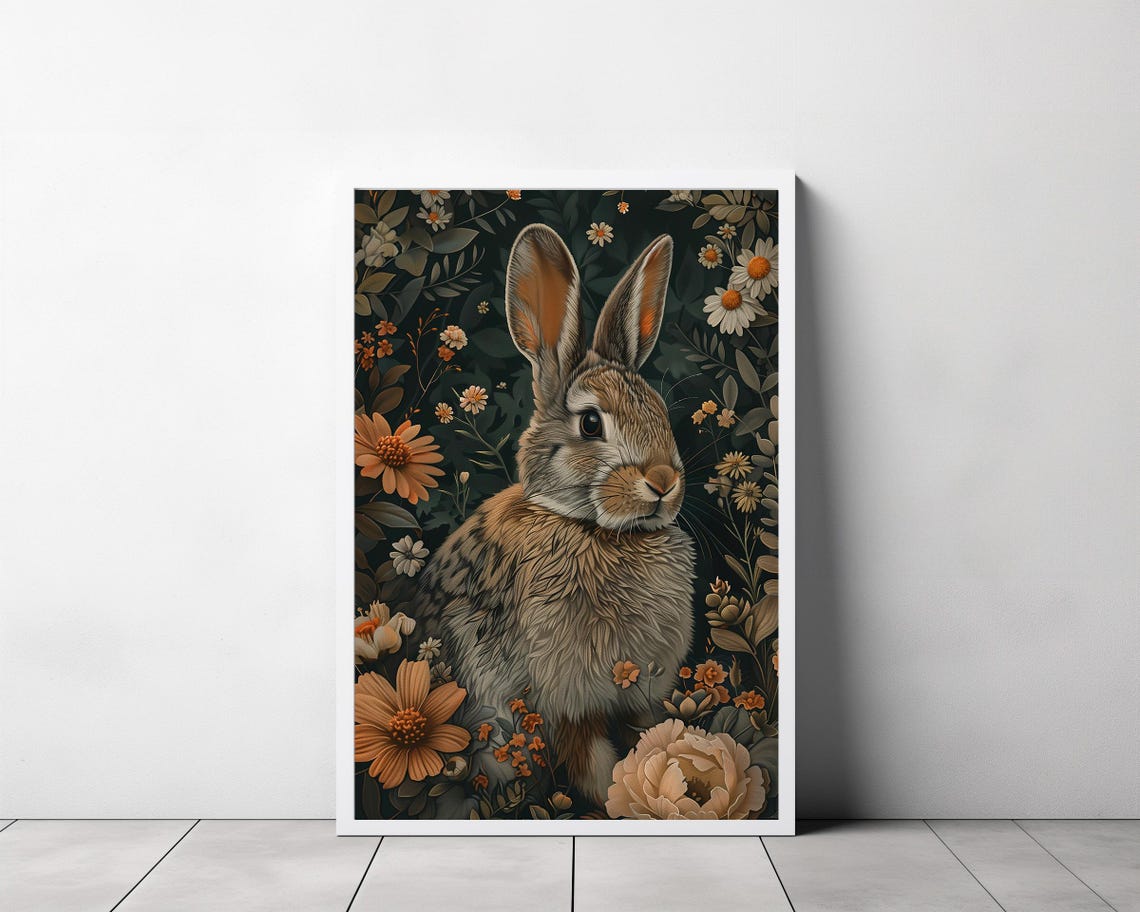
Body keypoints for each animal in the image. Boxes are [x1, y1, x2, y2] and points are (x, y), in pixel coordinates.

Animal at [418, 223, 694, 806]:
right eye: (591, 423)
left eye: (660, 411)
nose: (663, 482)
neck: (594, 529)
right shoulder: (564, 699)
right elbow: (591, 761)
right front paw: (614, 802)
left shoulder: (639, 696)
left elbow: (647, 738)